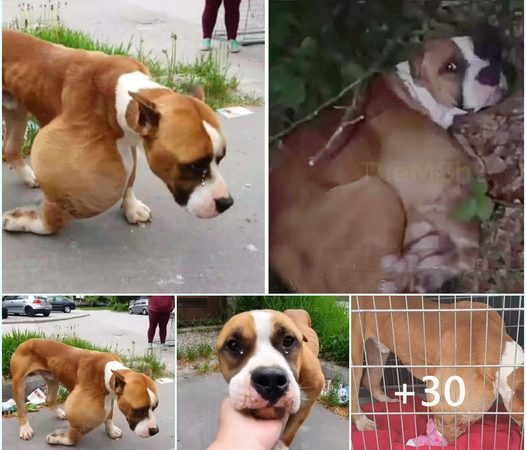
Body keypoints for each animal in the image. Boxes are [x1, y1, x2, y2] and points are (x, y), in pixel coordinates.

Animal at [2, 30, 233, 236]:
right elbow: (55, 216)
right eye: (194, 166)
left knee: (11, 149)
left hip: (16, 111)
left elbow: (130, 175)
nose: (226, 202)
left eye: (220, 159)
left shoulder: (130, 140)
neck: (116, 93)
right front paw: (26, 221)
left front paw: (131, 207)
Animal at [10, 340, 159, 444]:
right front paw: (58, 438)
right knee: (21, 409)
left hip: (53, 378)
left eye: (155, 407)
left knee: (50, 399)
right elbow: (75, 435)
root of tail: (26, 341)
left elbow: (109, 416)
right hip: (19, 383)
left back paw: (59, 413)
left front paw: (111, 430)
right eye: (138, 410)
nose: (155, 431)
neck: (106, 372)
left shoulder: (110, 397)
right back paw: (25, 429)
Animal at [216, 310, 326, 450]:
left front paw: (280, 446)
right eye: (233, 345)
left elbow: (290, 431)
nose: (271, 379)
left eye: (288, 341)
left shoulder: (305, 405)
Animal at [352, 298, 524, 442]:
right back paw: (363, 422)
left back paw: (388, 402)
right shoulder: (441, 398)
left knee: (370, 381)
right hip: (356, 354)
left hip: (378, 353)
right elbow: (447, 427)